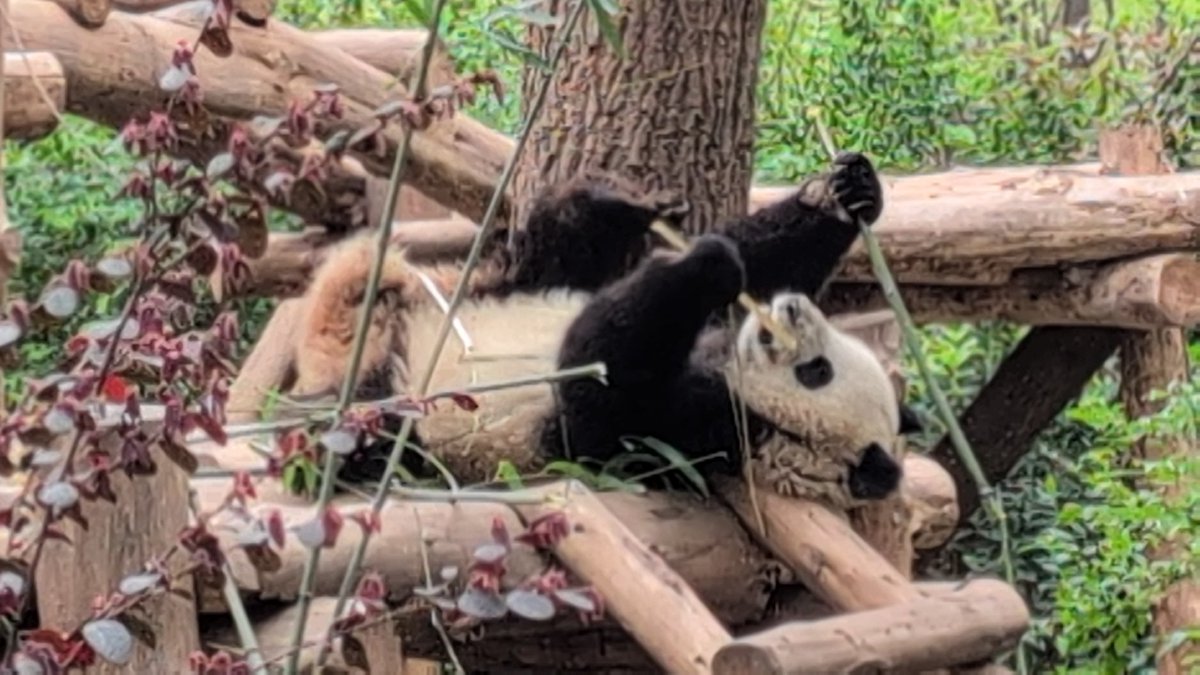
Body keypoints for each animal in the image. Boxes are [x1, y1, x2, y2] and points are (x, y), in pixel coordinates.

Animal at [288, 151, 918, 507]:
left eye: (818, 371)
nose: (791, 313)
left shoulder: (683, 435)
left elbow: (596, 375)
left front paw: (705, 266)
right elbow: (753, 257)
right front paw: (846, 195)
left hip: (402, 415)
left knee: (355, 430)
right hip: (499, 287)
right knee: (563, 246)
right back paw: (614, 202)